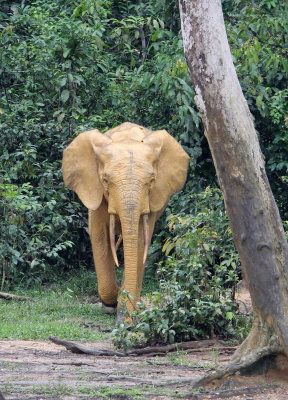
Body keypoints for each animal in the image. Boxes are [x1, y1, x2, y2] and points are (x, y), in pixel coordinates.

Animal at [62, 122, 190, 318]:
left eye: (151, 181)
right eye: (106, 180)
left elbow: (138, 239)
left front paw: (126, 313)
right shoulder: (95, 191)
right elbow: (99, 234)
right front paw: (112, 302)